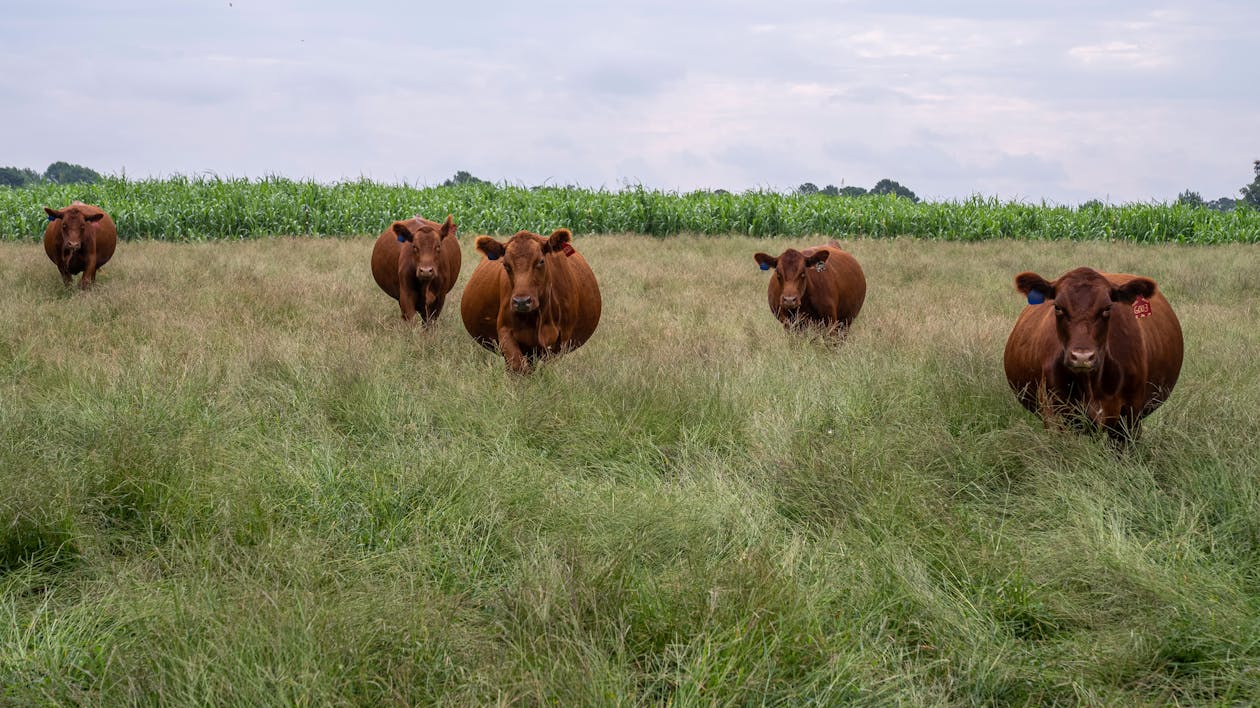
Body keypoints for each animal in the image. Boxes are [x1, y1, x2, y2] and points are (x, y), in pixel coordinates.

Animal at [461, 230, 602, 375]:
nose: (522, 302)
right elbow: (518, 366)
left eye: (541, 261)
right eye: (505, 264)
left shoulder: (561, 338)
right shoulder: (505, 332)